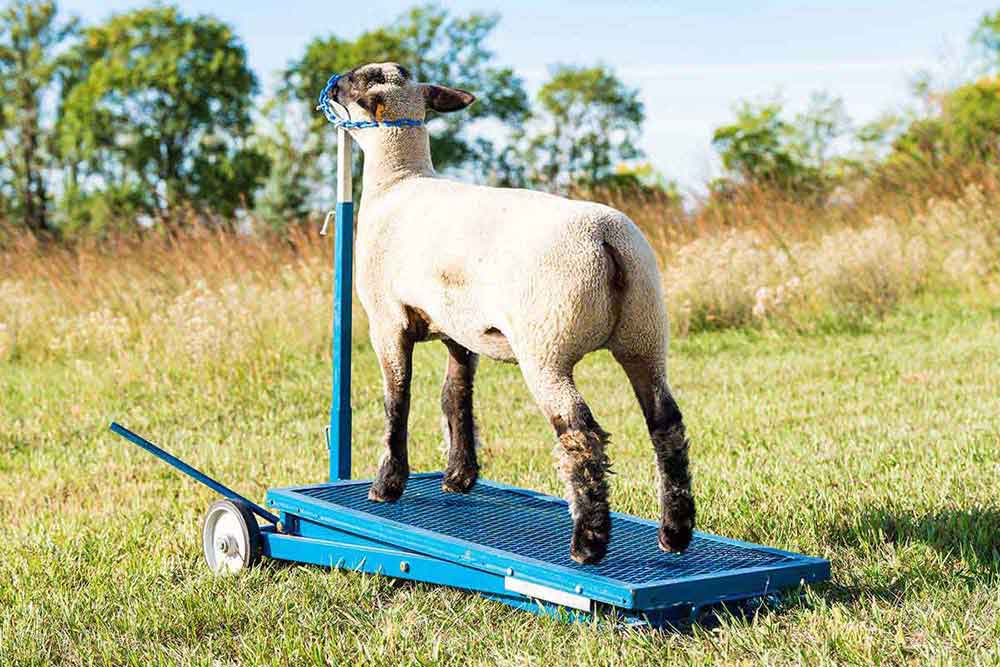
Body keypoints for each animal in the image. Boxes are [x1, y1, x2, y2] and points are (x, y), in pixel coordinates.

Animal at [323, 62, 694, 564]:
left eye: (359, 79)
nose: (331, 85)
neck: (398, 179)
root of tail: (607, 240)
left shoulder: (388, 320)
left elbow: (396, 401)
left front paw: (388, 483)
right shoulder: (460, 330)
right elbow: (456, 397)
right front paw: (459, 476)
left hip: (547, 347)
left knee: (580, 434)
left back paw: (589, 542)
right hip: (645, 335)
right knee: (666, 424)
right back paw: (674, 531)